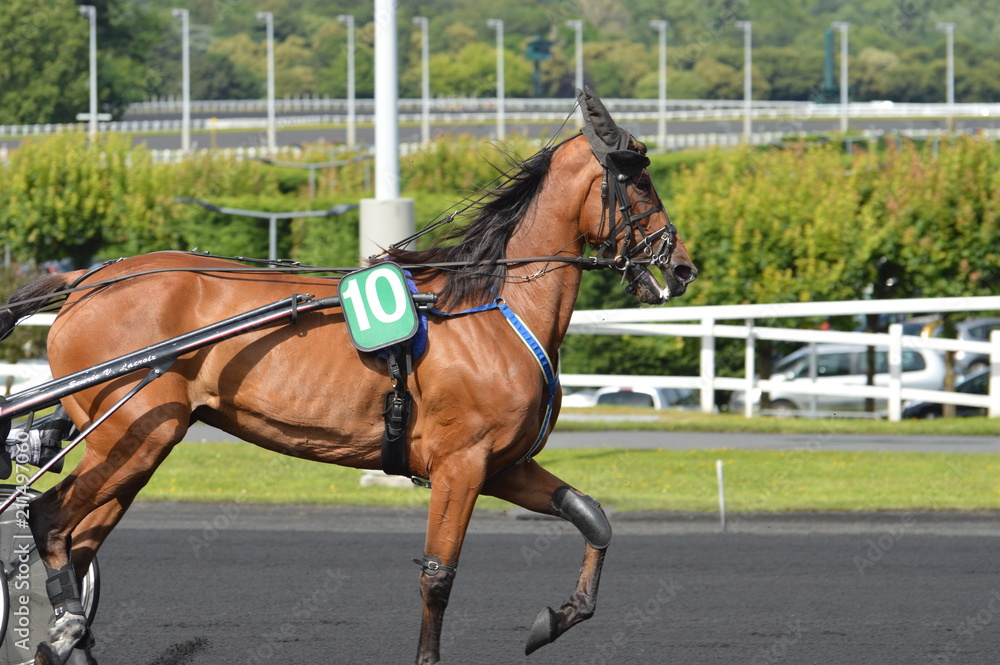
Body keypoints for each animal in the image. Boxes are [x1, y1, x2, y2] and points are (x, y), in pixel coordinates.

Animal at [0, 88, 696, 664]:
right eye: (640, 185)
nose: (682, 265)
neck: (491, 309)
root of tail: (87, 281)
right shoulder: (461, 464)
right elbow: (439, 575)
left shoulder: (500, 464)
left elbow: (591, 515)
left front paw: (556, 618)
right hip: (136, 432)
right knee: (52, 521)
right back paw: (64, 627)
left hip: (135, 442)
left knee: (80, 542)